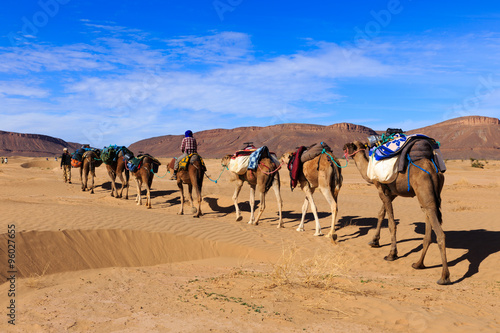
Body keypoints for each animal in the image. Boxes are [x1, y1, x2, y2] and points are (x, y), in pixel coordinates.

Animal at [344, 139, 450, 284]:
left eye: (349, 145)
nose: (343, 147)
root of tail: (433, 169)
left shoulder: (382, 190)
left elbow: (391, 224)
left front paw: (391, 254)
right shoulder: (392, 192)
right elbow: (381, 213)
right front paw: (374, 241)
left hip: (424, 190)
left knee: (440, 233)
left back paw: (444, 277)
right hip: (428, 196)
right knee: (428, 219)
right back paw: (418, 264)